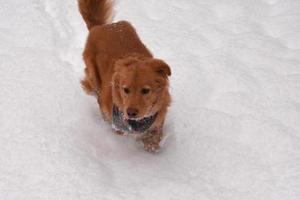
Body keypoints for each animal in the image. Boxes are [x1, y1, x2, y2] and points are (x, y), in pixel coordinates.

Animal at [77, 0, 171, 152]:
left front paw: (151, 143)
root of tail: (100, 26)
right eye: (125, 90)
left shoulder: (159, 114)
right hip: (93, 77)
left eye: (146, 90)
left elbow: (155, 134)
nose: (131, 112)